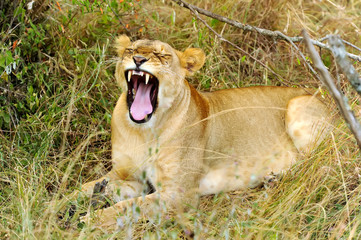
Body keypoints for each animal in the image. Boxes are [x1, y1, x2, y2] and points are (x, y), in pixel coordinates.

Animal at [79, 35, 332, 229]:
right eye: (130, 50)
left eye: (163, 55)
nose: (138, 59)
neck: (144, 131)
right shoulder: (129, 177)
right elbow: (85, 188)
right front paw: (72, 204)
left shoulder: (179, 193)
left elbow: (129, 207)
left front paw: (88, 220)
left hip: (297, 106)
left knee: (316, 165)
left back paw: (276, 177)